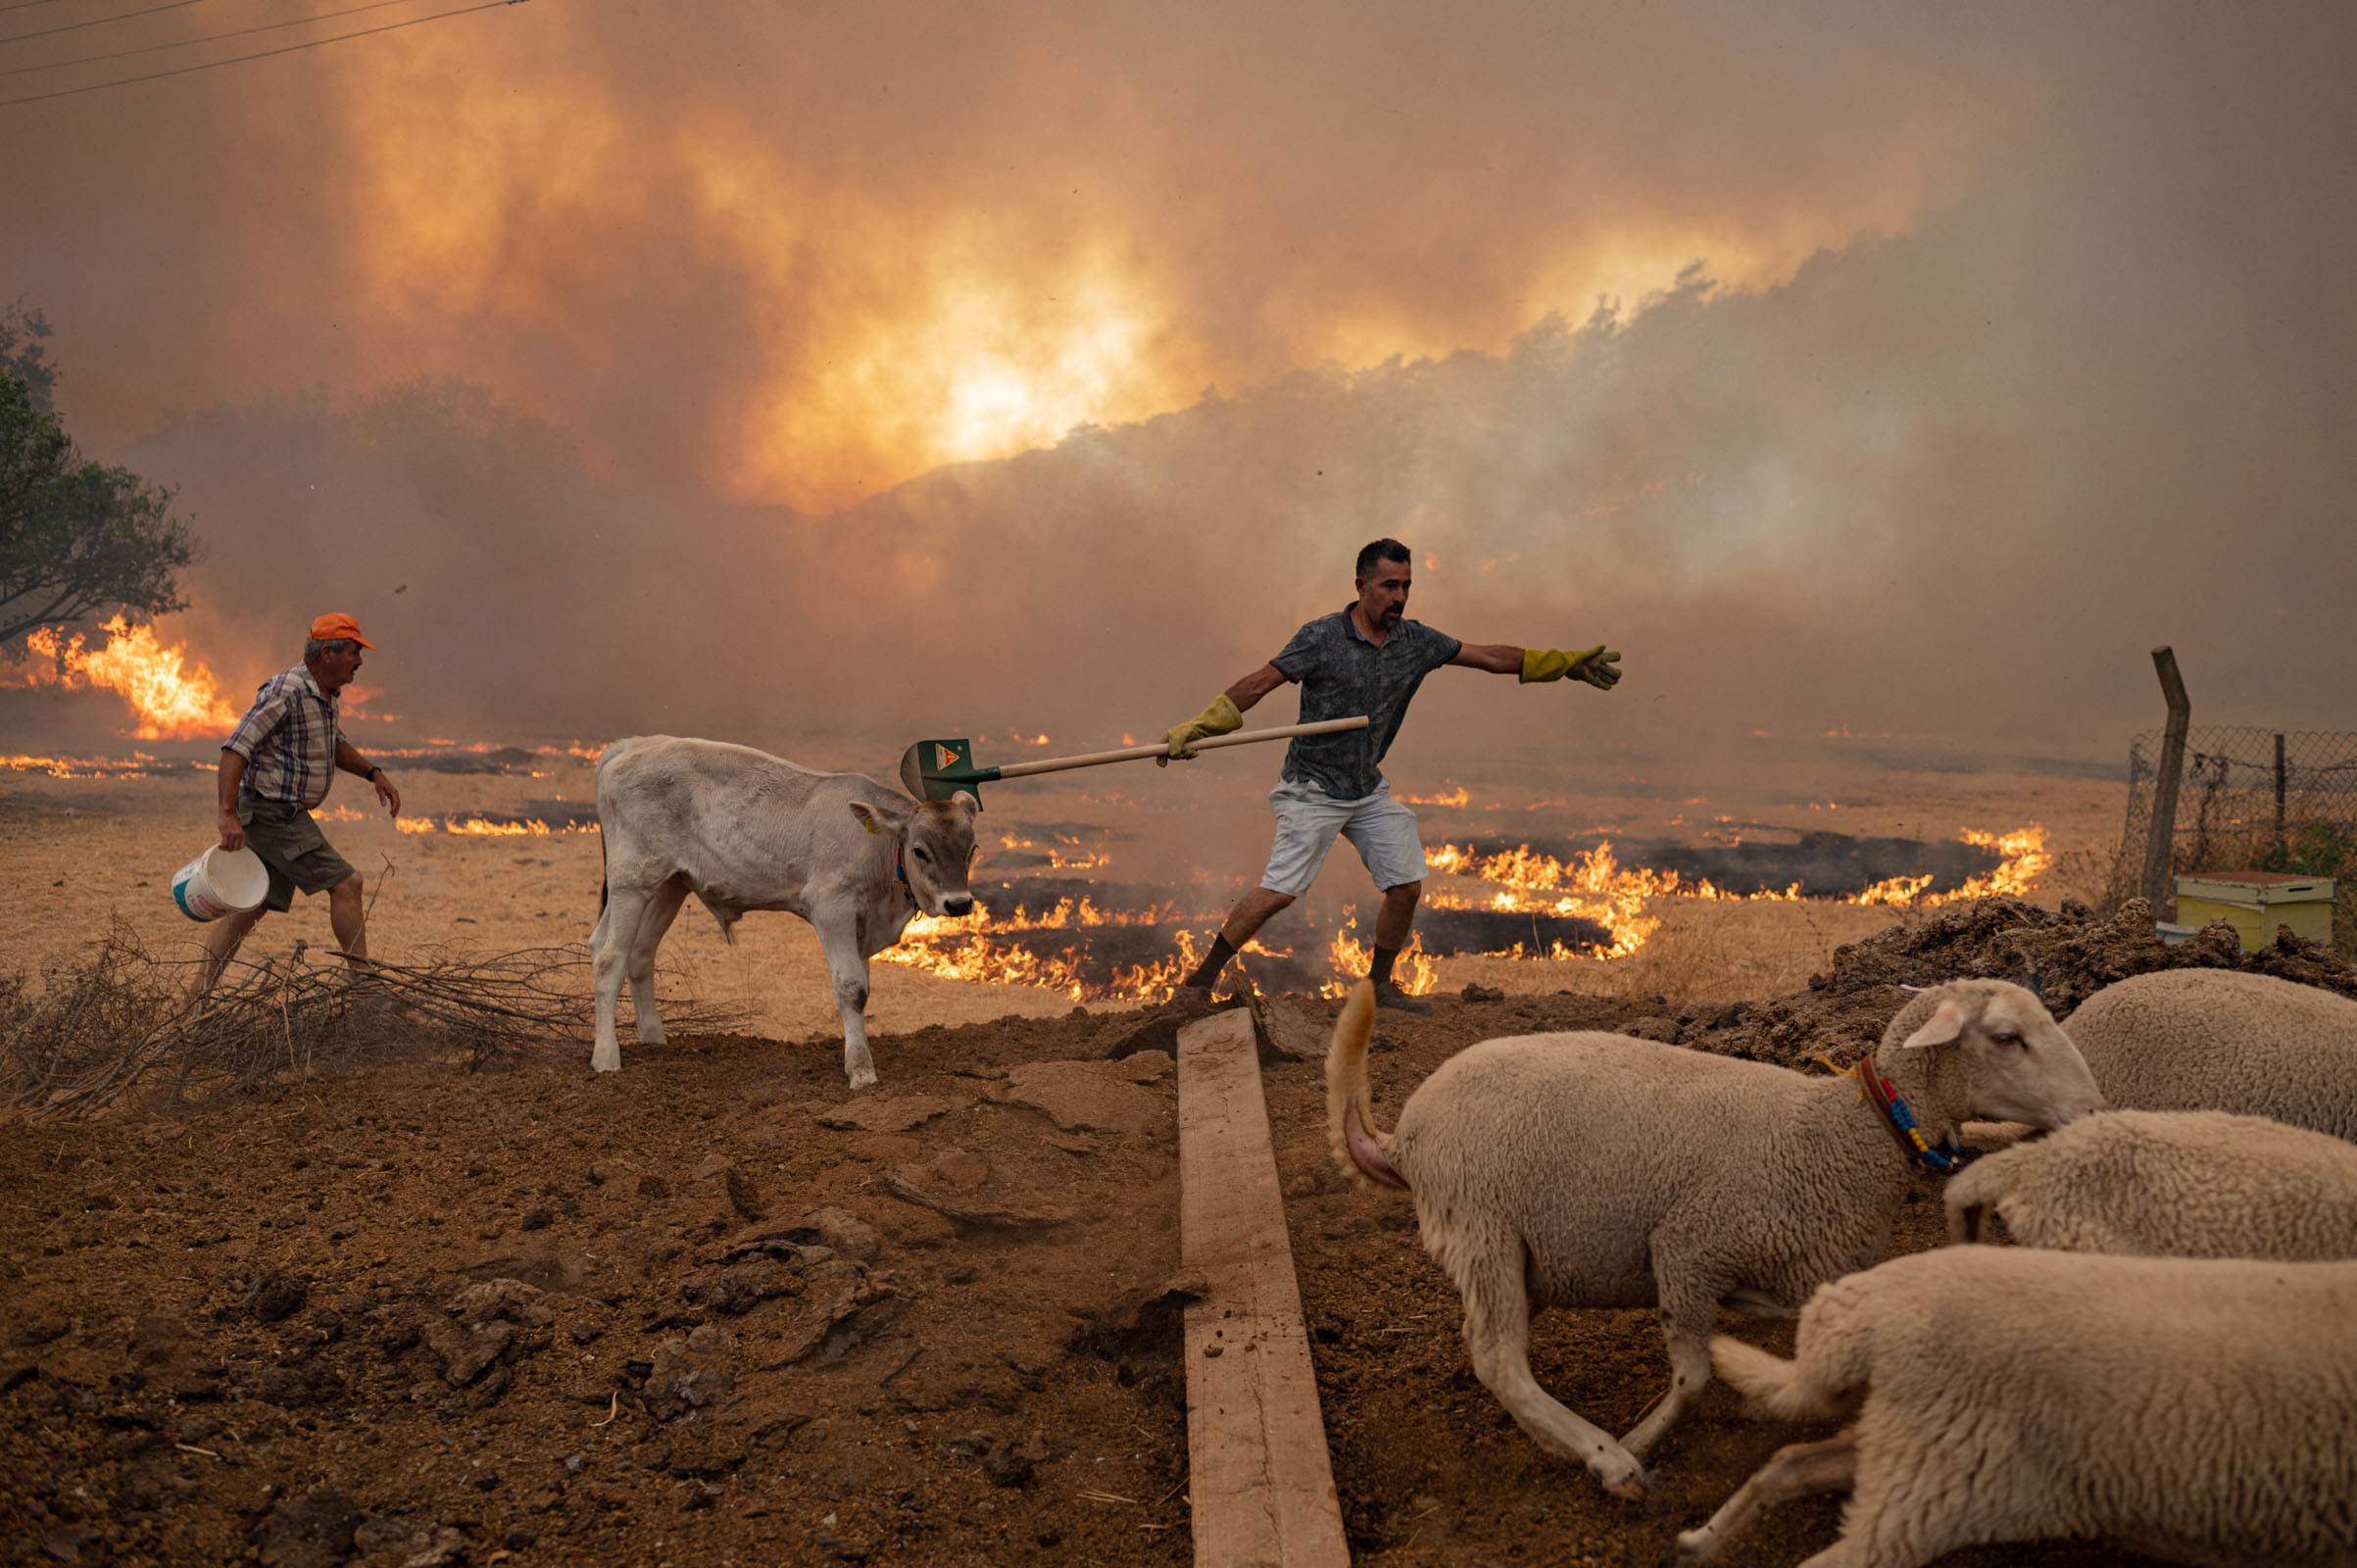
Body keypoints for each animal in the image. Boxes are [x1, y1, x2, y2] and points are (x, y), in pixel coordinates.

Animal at [598, 735, 985, 1089]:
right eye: (920, 850)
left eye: (971, 849)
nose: (958, 903)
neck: (874, 845)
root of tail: (631, 746)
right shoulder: (832, 909)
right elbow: (851, 988)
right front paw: (861, 1071)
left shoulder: (861, 925)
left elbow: (863, 990)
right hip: (631, 881)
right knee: (609, 958)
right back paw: (606, 1057)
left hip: (670, 884)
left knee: (637, 953)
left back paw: (653, 1038)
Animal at [1319, 971, 2111, 1499]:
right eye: (2007, 1038)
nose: (2092, 1110)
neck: (1848, 1134)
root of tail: (1403, 1138)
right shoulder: (1688, 1249)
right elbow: (1692, 1380)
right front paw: (1637, 1441)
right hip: (1481, 1223)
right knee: (1498, 1358)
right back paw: (1603, 1458)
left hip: (1517, 1255)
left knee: (1487, 1345)